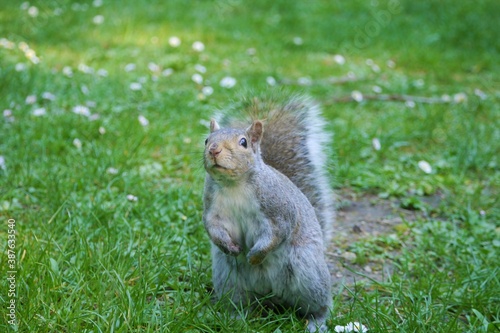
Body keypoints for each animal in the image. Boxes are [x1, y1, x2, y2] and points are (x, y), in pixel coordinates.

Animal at [201, 94, 334, 332]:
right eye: (207, 140)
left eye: (243, 142)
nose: (214, 150)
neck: (234, 184)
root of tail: (272, 297)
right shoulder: (213, 209)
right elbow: (212, 227)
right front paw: (229, 246)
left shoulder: (279, 210)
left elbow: (277, 233)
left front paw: (255, 255)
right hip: (229, 279)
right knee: (240, 302)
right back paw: (235, 317)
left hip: (308, 274)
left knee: (318, 305)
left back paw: (316, 321)